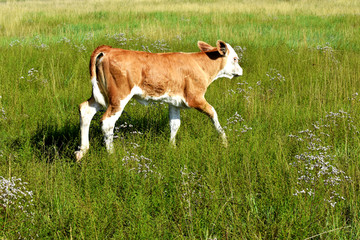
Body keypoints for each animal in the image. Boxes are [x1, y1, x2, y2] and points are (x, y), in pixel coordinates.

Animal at [74, 40, 243, 161]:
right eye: (235, 58)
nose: (241, 71)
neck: (200, 65)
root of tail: (108, 49)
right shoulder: (195, 98)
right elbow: (213, 114)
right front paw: (224, 141)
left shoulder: (175, 102)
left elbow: (174, 124)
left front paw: (172, 147)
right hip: (118, 98)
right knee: (107, 122)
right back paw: (111, 155)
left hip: (101, 95)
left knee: (85, 110)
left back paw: (82, 151)